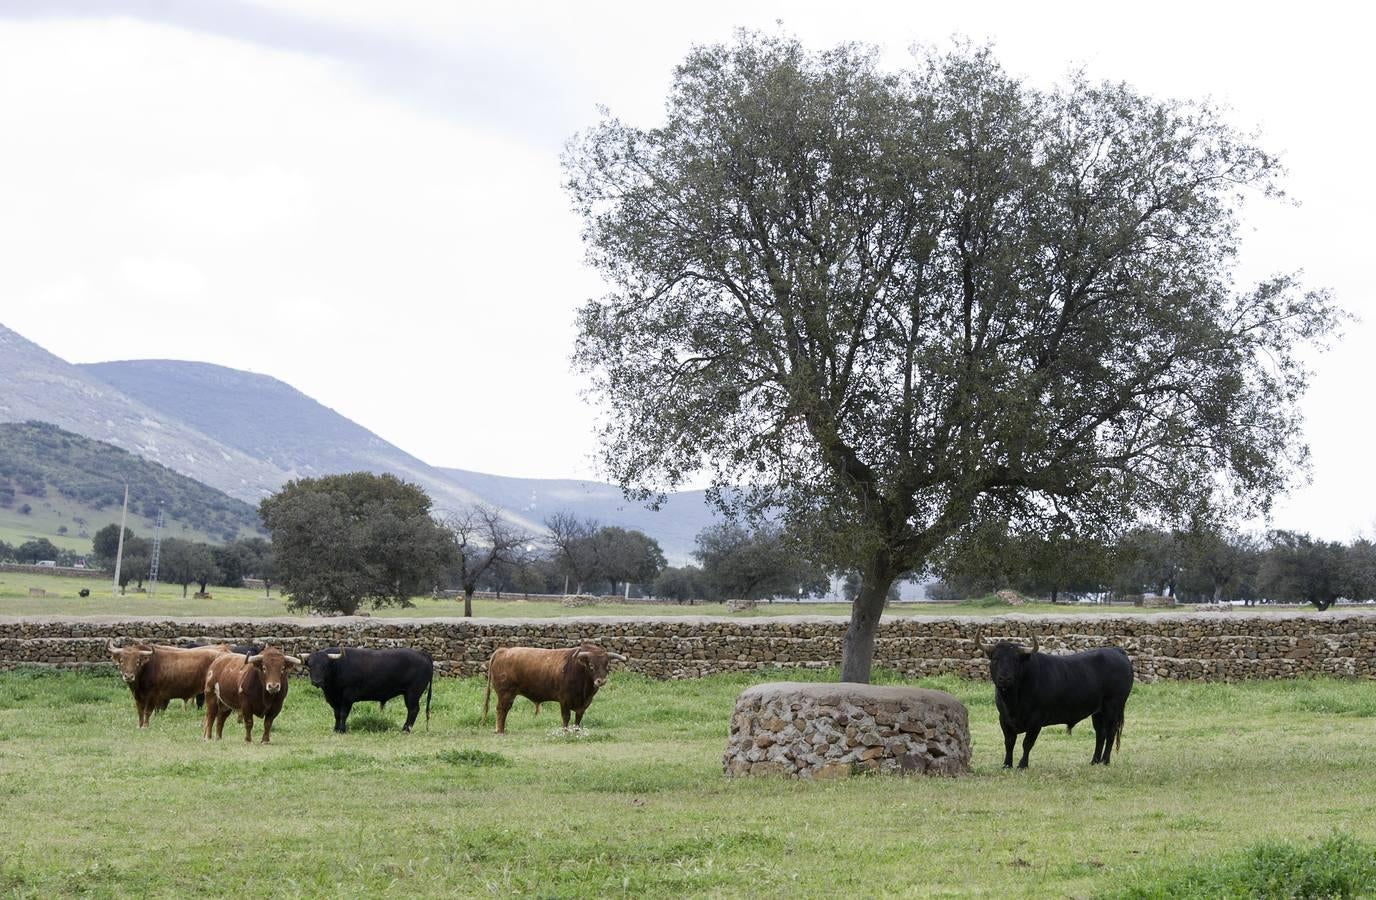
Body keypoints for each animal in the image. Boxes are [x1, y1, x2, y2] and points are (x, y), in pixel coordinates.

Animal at [481, 644, 627, 737]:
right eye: (591, 665)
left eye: (607, 665)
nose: (601, 681)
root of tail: (503, 650)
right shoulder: (565, 700)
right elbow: (566, 717)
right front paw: (565, 732)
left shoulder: (583, 704)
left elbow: (578, 719)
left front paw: (577, 732)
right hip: (506, 693)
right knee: (502, 710)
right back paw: (500, 731)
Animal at [985, 635, 1133, 770]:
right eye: (995, 659)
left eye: (1016, 660)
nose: (1005, 678)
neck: (1013, 702)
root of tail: (1116, 651)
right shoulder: (1004, 719)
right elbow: (1009, 743)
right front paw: (1006, 765)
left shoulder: (1035, 721)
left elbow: (1027, 743)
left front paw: (1022, 765)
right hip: (1098, 712)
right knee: (1100, 734)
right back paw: (1094, 761)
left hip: (1113, 707)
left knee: (1110, 733)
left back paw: (1105, 761)